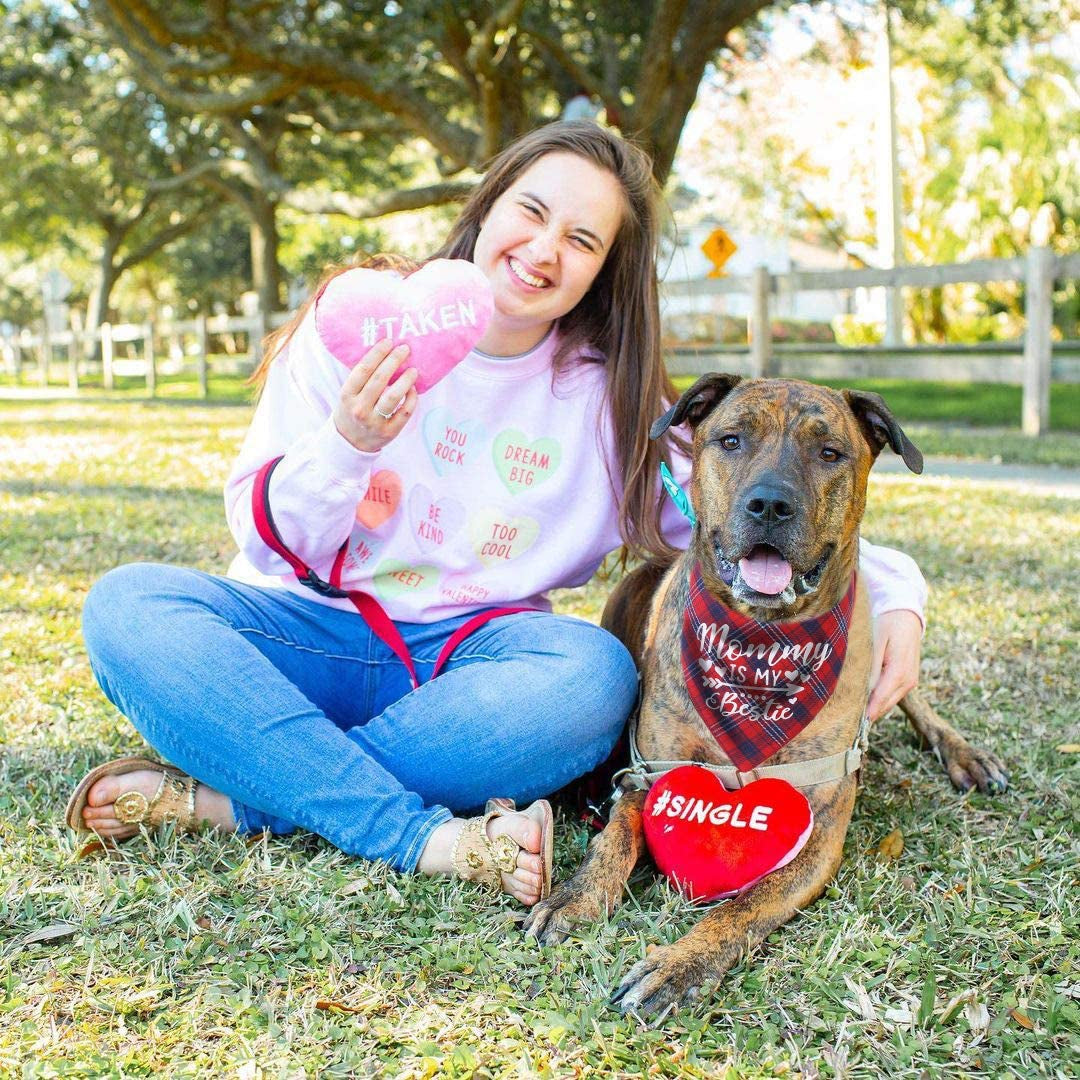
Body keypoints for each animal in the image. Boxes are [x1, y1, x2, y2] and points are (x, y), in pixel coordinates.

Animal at [518, 371, 1006, 1010]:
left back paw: (967, 754)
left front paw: (679, 966)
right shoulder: (647, 776)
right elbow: (615, 840)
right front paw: (575, 898)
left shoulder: (818, 833)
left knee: (913, 695)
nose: (770, 504)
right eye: (731, 440)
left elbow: (744, 905)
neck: (758, 652)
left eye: (830, 453)